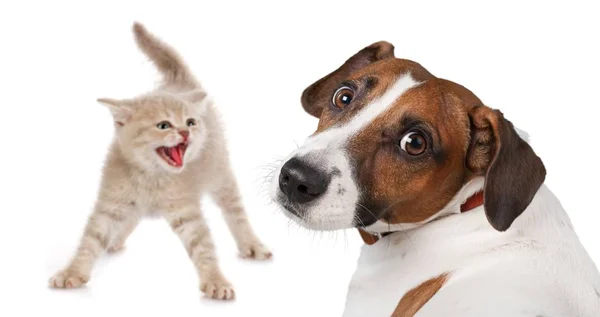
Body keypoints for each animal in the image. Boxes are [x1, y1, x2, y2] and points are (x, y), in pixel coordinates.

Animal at [49, 22, 272, 298]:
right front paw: (72, 273)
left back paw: (251, 244)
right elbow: (91, 239)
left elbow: (203, 245)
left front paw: (216, 281)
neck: (151, 177)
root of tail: (179, 81)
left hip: (220, 173)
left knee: (235, 211)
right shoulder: (111, 201)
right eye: (164, 125)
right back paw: (116, 239)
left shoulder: (187, 211)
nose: (186, 132)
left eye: (190, 122)